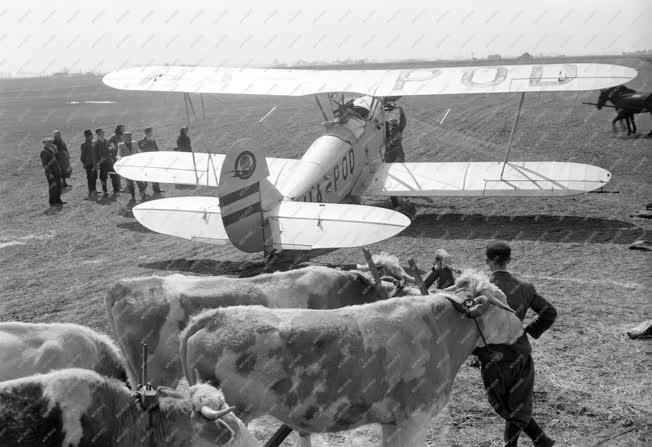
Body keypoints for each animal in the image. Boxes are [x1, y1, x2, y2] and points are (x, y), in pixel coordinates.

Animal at [180, 270, 524, 447]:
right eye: (504, 303)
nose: (522, 328)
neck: (438, 329)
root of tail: (214, 316)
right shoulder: (415, 418)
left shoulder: (393, 422)